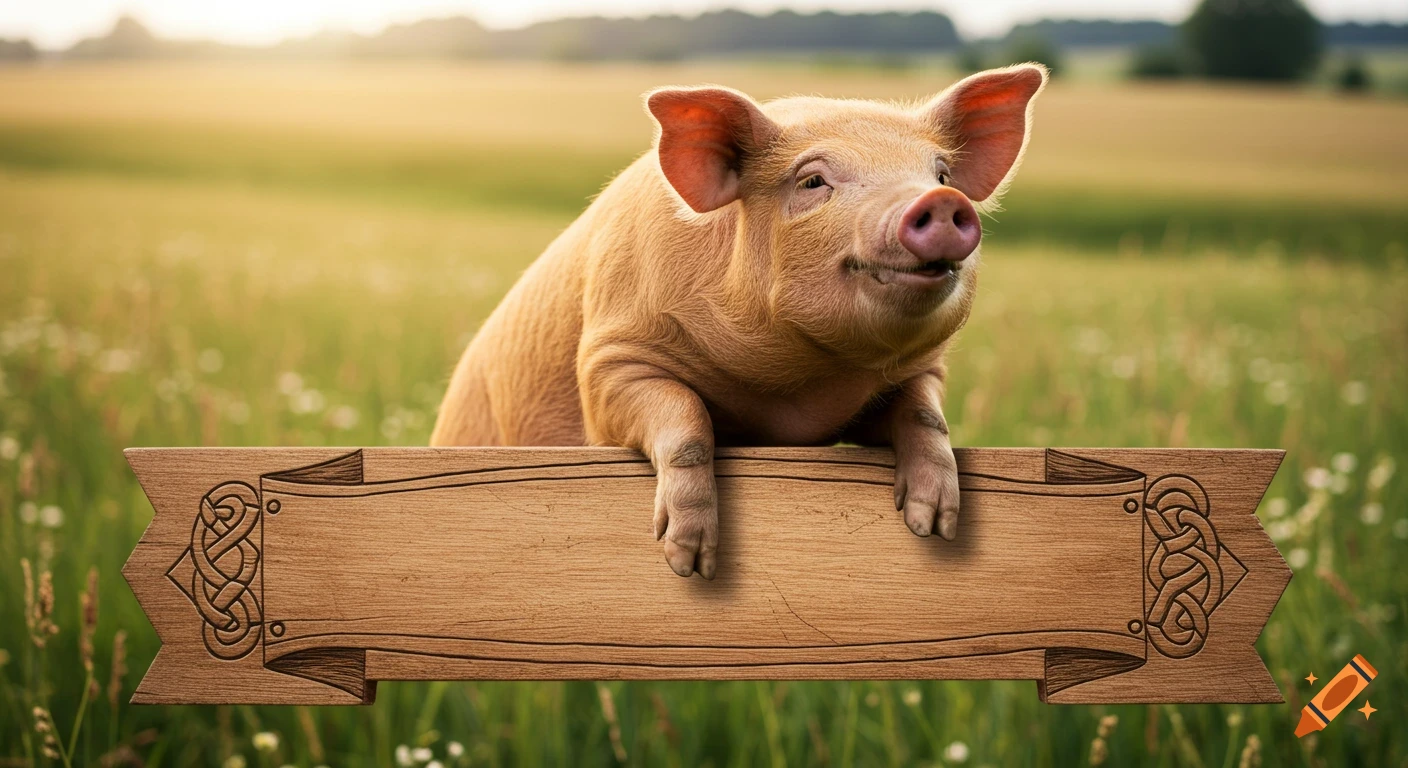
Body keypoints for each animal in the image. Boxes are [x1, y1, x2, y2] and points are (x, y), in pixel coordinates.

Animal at [432, 64, 1048, 580]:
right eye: (812, 181)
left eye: (940, 173)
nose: (940, 201)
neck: (791, 395)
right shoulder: (610, 359)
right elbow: (686, 423)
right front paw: (690, 564)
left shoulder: (918, 373)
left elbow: (925, 417)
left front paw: (933, 526)